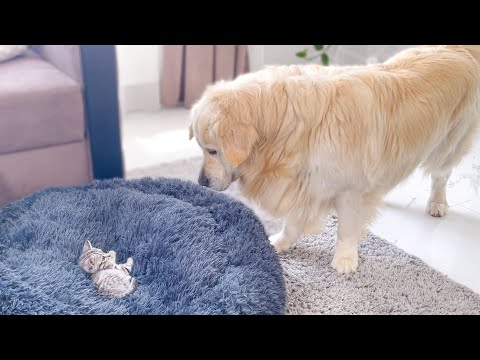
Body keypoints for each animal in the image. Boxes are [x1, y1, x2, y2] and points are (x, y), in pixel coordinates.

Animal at [188, 46, 480, 274]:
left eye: (212, 150)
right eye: (202, 148)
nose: (201, 182)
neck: (286, 126)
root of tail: (459, 49)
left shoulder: (349, 190)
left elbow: (346, 229)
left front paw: (345, 258)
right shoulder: (305, 184)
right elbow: (293, 223)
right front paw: (280, 242)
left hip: (449, 143)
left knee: (441, 176)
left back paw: (437, 203)